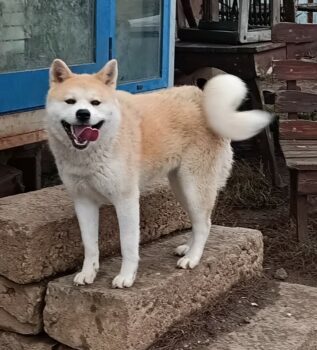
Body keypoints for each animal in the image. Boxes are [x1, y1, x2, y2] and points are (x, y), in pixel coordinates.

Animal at [45, 59, 270, 288]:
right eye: (70, 101)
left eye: (95, 103)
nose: (83, 114)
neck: (91, 151)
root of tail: (202, 98)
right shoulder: (83, 201)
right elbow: (90, 245)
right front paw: (88, 273)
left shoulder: (126, 200)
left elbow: (128, 245)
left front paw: (127, 276)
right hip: (180, 188)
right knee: (197, 222)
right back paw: (187, 248)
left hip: (194, 187)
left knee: (204, 224)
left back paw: (192, 258)